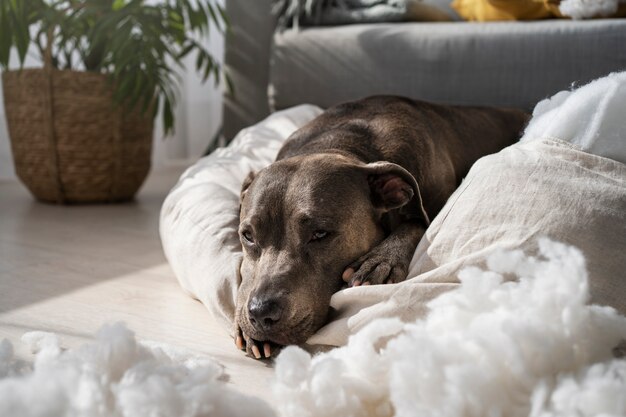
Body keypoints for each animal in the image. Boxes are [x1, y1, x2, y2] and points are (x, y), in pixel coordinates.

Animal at [232, 95, 524, 358]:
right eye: (248, 236)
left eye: (320, 233)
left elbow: (416, 224)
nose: (261, 312)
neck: (339, 143)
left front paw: (382, 261)